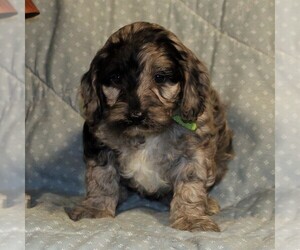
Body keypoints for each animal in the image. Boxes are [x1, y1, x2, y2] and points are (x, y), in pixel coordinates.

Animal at [68, 22, 234, 232]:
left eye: (160, 77)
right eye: (116, 78)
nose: (136, 115)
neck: (145, 135)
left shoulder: (194, 153)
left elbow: (190, 186)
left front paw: (191, 219)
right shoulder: (99, 143)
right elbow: (101, 178)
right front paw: (95, 209)